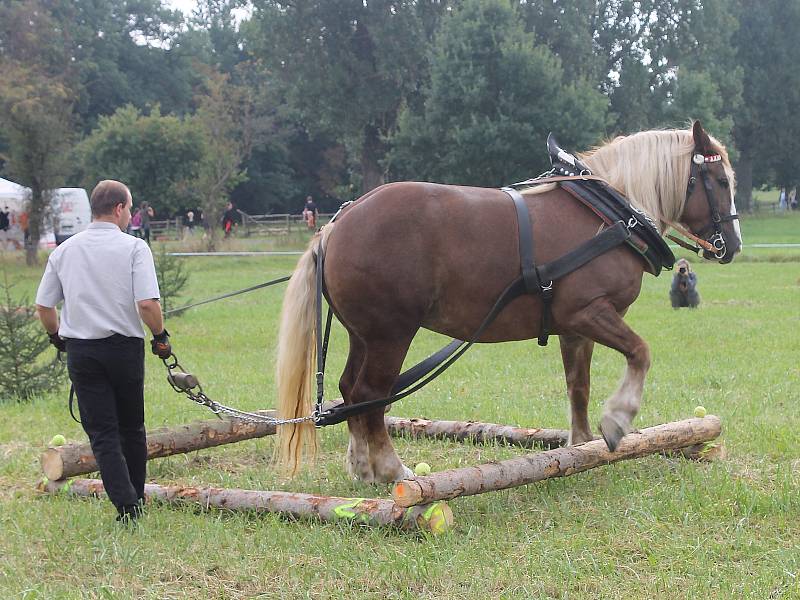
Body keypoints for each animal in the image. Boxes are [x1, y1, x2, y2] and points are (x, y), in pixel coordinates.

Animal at [276, 122, 744, 482]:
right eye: (721, 182)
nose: (733, 245)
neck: (610, 216)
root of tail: (337, 225)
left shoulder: (574, 327)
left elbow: (578, 386)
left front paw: (581, 445)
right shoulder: (589, 311)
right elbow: (640, 353)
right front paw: (617, 420)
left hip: (364, 335)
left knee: (350, 392)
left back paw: (363, 467)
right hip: (391, 334)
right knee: (370, 394)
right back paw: (392, 470)